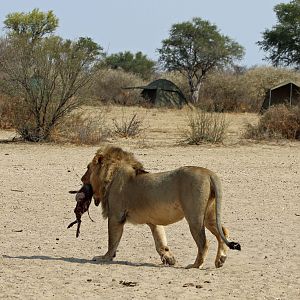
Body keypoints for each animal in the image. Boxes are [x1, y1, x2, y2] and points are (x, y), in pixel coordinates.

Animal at [78, 146, 240, 268]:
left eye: (87, 168)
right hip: (208, 216)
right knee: (223, 231)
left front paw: (104, 257)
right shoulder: (153, 221)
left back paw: (195, 265)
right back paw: (220, 260)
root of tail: (209, 173)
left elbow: (112, 241)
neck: (111, 175)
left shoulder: (116, 217)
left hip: (195, 217)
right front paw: (169, 258)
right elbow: (160, 241)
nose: (81, 178)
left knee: (203, 242)